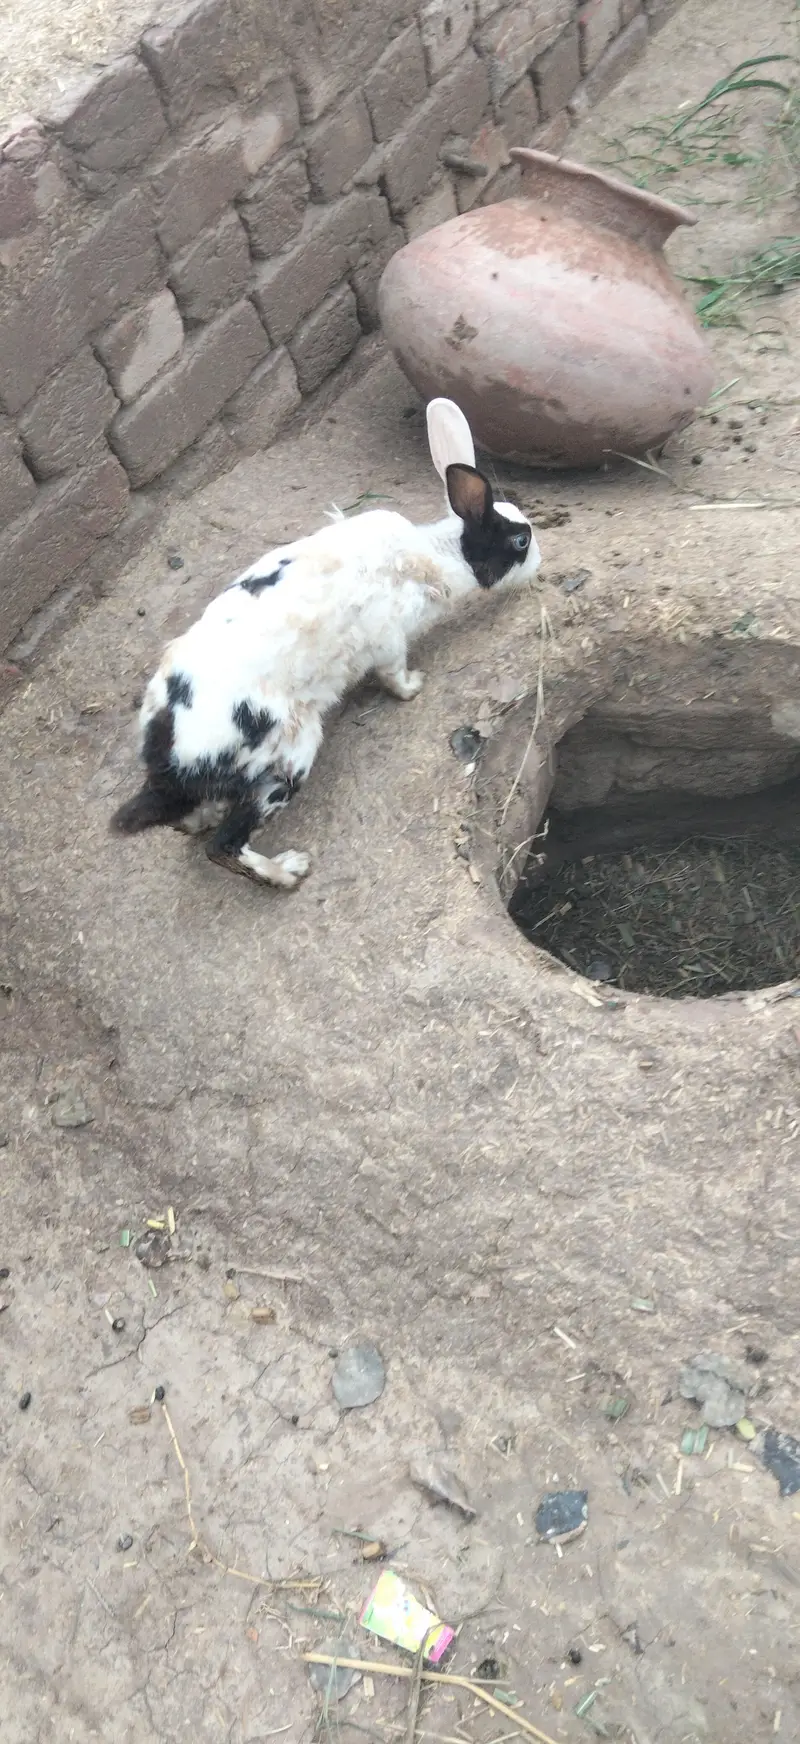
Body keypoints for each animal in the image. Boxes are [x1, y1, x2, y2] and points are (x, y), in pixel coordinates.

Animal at [111, 398, 541, 888]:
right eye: (520, 540)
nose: (541, 561)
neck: (436, 557)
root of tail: (170, 761)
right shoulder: (389, 638)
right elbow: (394, 673)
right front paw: (415, 687)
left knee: (191, 823)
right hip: (288, 758)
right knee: (224, 846)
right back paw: (287, 871)